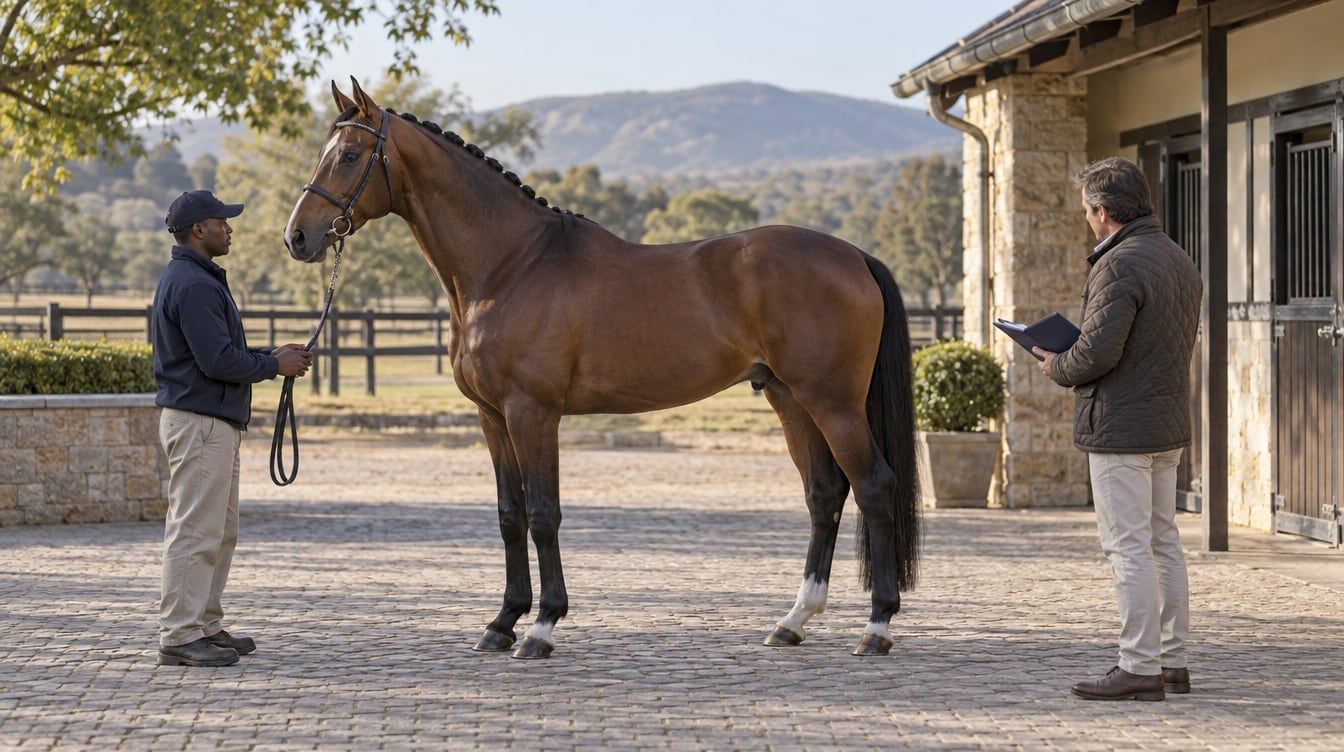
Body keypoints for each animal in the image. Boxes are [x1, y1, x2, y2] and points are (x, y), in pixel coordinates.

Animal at [284, 79, 920, 660]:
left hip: (833, 402)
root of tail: (855, 255)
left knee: (873, 486)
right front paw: (502, 622)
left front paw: (542, 627)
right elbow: (510, 514)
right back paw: (792, 621)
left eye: (349, 155)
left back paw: (876, 628)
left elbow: (544, 514)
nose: (298, 237)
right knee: (824, 494)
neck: (511, 265)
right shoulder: (492, 417)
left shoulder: (533, 412)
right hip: (789, 398)